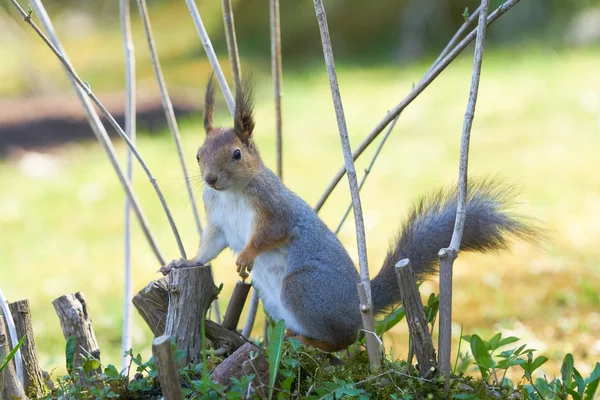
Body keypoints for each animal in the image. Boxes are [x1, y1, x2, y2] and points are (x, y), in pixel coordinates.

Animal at [162, 76, 540, 352]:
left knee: (345, 338)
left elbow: (272, 232)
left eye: (237, 154)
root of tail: (360, 307)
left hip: (303, 289)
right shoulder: (218, 222)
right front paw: (184, 262)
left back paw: (313, 341)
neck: (231, 194)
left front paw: (245, 256)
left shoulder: (274, 208)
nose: (210, 179)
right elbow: (208, 248)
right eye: (198, 154)